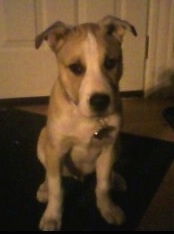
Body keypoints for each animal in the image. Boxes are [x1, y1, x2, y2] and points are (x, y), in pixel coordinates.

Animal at [35, 15, 136, 231]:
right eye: (76, 68)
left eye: (110, 62)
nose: (100, 101)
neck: (85, 118)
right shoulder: (56, 150)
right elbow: (57, 188)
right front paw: (52, 216)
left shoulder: (108, 147)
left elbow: (103, 185)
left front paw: (108, 209)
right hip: (42, 140)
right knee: (48, 173)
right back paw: (44, 188)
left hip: (119, 144)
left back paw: (117, 179)